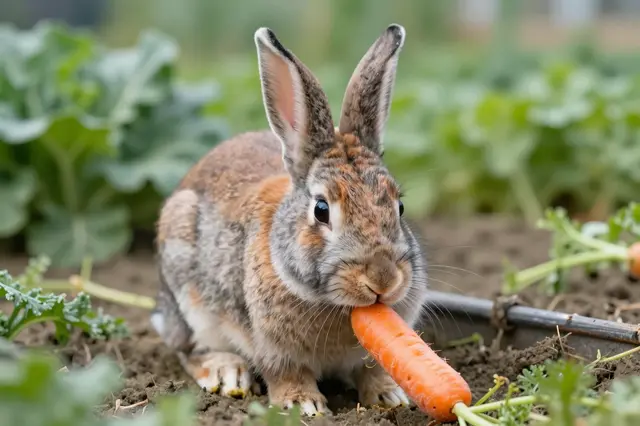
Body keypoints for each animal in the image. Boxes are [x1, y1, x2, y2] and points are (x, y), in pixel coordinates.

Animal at [150, 23, 429, 416]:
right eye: (321, 210)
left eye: (399, 206)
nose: (383, 280)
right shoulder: (272, 348)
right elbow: (286, 374)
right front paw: (304, 405)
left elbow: (372, 369)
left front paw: (390, 396)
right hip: (187, 294)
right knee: (188, 350)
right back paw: (227, 373)